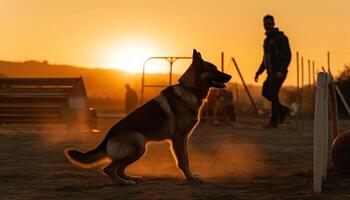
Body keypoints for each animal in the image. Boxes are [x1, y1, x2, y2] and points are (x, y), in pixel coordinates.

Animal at [64, 49, 231, 184]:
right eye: (214, 69)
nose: (230, 76)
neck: (189, 89)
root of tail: (107, 138)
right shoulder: (178, 138)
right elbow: (183, 161)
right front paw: (190, 178)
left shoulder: (184, 139)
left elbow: (187, 159)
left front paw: (192, 176)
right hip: (138, 143)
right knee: (109, 169)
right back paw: (124, 182)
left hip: (140, 149)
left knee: (119, 169)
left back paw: (132, 178)